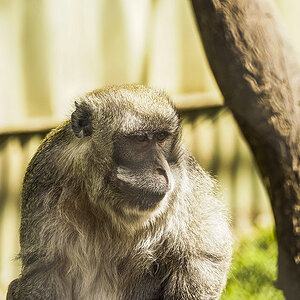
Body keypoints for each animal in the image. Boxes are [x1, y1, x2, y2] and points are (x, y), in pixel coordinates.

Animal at [6, 83, 232, 298]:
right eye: (140, 140)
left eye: (161, 137)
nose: (162, 170)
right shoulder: (46, 172)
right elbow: (46, 270)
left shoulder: (185, 178)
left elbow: (203, 258)